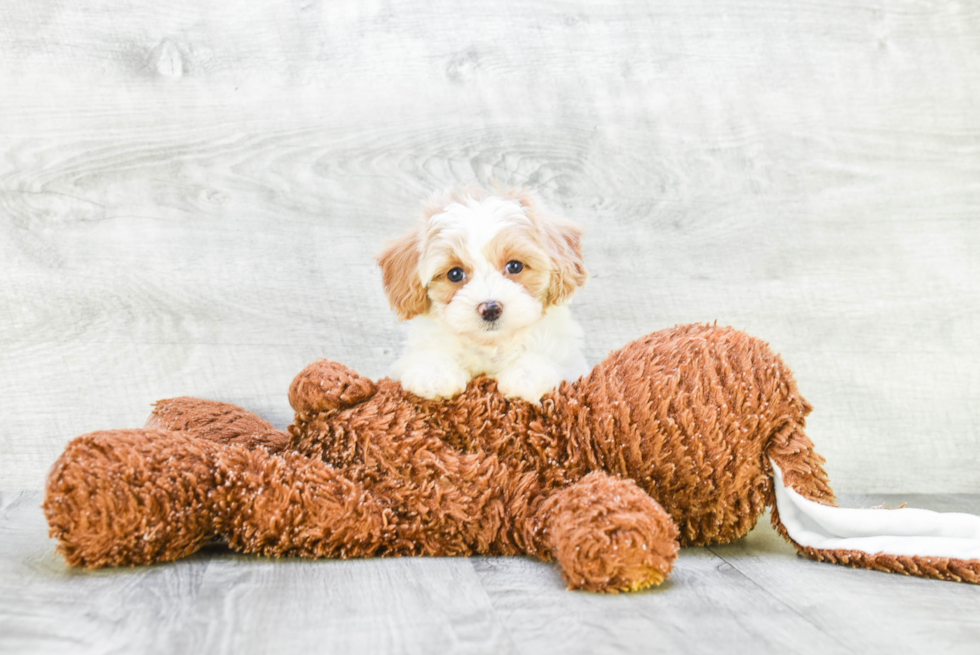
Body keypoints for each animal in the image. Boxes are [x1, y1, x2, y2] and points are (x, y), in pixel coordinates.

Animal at [378, 187, 588, 402]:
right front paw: (434, 374)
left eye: (515, 266)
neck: (490, 346)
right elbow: (431, 351)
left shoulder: (568, 360)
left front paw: (527, 375)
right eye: (455, 274)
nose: (490, 309)